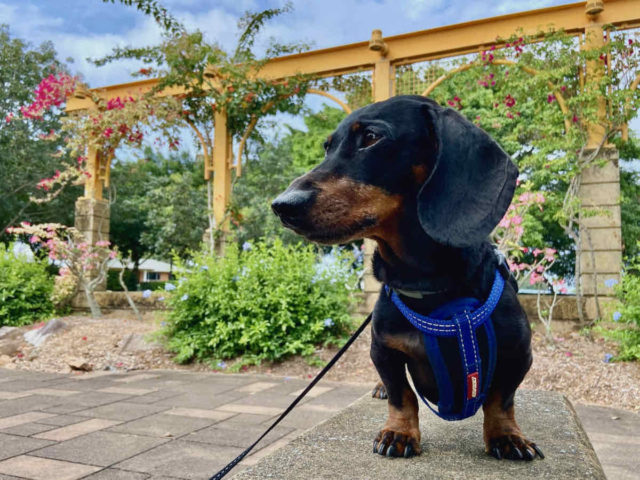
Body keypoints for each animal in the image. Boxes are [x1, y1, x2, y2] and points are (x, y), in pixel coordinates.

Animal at [272, 94, 544, 462]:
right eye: (328, 147)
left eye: (371, 137)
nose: (282, 206)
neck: (428, 287)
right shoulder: (382, 350)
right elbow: (402, 394)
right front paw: (398, 433)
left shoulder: (518, 352)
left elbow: (501, 399)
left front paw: (507, 436)